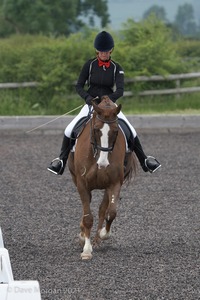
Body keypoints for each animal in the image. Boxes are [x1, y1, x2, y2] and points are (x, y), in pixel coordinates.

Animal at [68, 96, 137, 260]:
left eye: (115, 131)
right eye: (95, 130)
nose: (103, 164)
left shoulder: (115, 183)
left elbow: (111, 213)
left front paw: (104, 234)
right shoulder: (82, 184)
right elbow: (87, 217)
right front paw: (86, 249)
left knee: (102, 210)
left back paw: (97, 239)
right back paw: (84, 236)